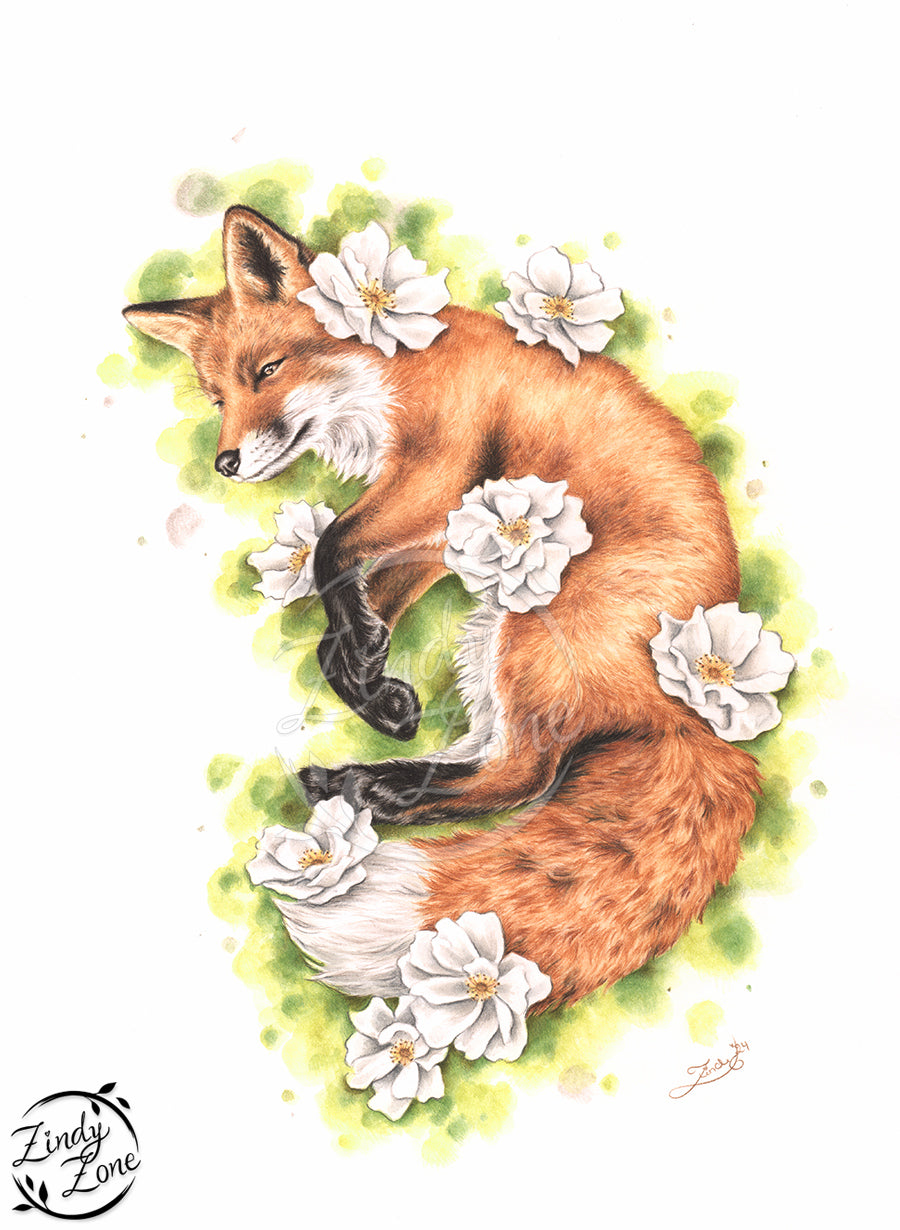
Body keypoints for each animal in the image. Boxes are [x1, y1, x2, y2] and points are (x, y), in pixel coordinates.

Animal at [124, 205, 760, 1010]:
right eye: (217, 400)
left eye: (267, 372)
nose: (226, 463)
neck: (391, 370)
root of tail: (693, 722)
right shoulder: (441, 529)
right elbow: (345, 614)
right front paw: (374, 685)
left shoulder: (438, 471)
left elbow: (329, 551)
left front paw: (366, 667)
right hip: (491, 638)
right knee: (492, 756)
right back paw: (359, 780)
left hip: (528, 637)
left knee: (523, 775)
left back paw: (382, 794)